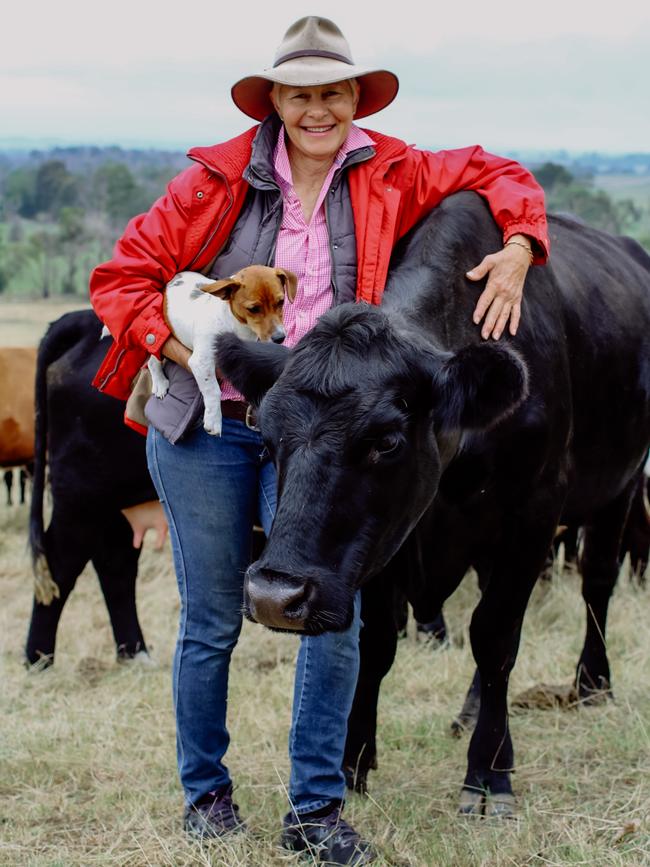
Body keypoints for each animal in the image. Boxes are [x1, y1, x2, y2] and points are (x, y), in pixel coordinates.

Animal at [26, 314, 158, 672]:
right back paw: (38, 661)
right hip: (82, 498)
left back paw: (135, 653)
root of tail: (81, 319)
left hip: (116, 503)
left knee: (116, 566)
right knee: (61, 564)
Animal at [218, 195, 648, 820]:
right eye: (266, 438)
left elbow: (495, 637)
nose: (275, 596)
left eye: (386, 441)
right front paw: (353, 763)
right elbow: (377, 642)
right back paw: (471, 712)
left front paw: (488, 775)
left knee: (596, 581)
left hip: (622, 484)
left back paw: (592, 683)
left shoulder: (534, 512)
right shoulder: (386, 538)